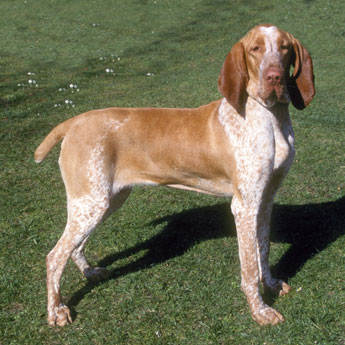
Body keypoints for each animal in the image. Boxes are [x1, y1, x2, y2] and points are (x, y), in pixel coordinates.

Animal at [35, 24, 314, 326]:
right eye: (255, 49)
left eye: (284, 48)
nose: (274, 77)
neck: (269, 117)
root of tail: (74, 122)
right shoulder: (245, 205)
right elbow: (250, 267)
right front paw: (259, 310)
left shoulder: (264, 199)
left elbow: (263, 250)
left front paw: (271, 285)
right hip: (91, 203)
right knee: (55, 256)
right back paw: (56, 310)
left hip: (105, 201)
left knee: (74, 247)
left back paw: (91, 272)